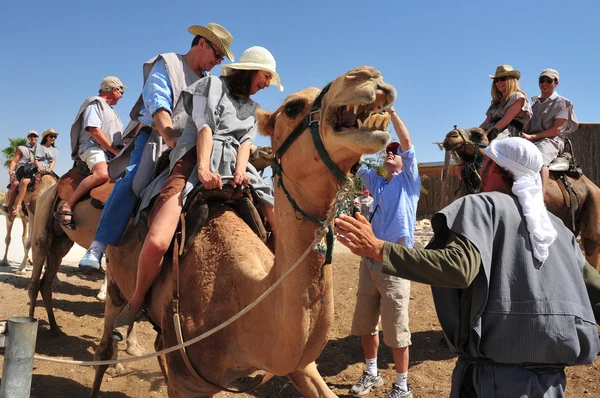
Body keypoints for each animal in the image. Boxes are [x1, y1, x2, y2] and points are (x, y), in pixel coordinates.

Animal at [89, 67, 396, 396]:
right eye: (292, 107)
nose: (367, 76)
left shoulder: (299, 364)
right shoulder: (188, 382)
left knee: (158, 345)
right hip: (118, 282)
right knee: (106, 342)